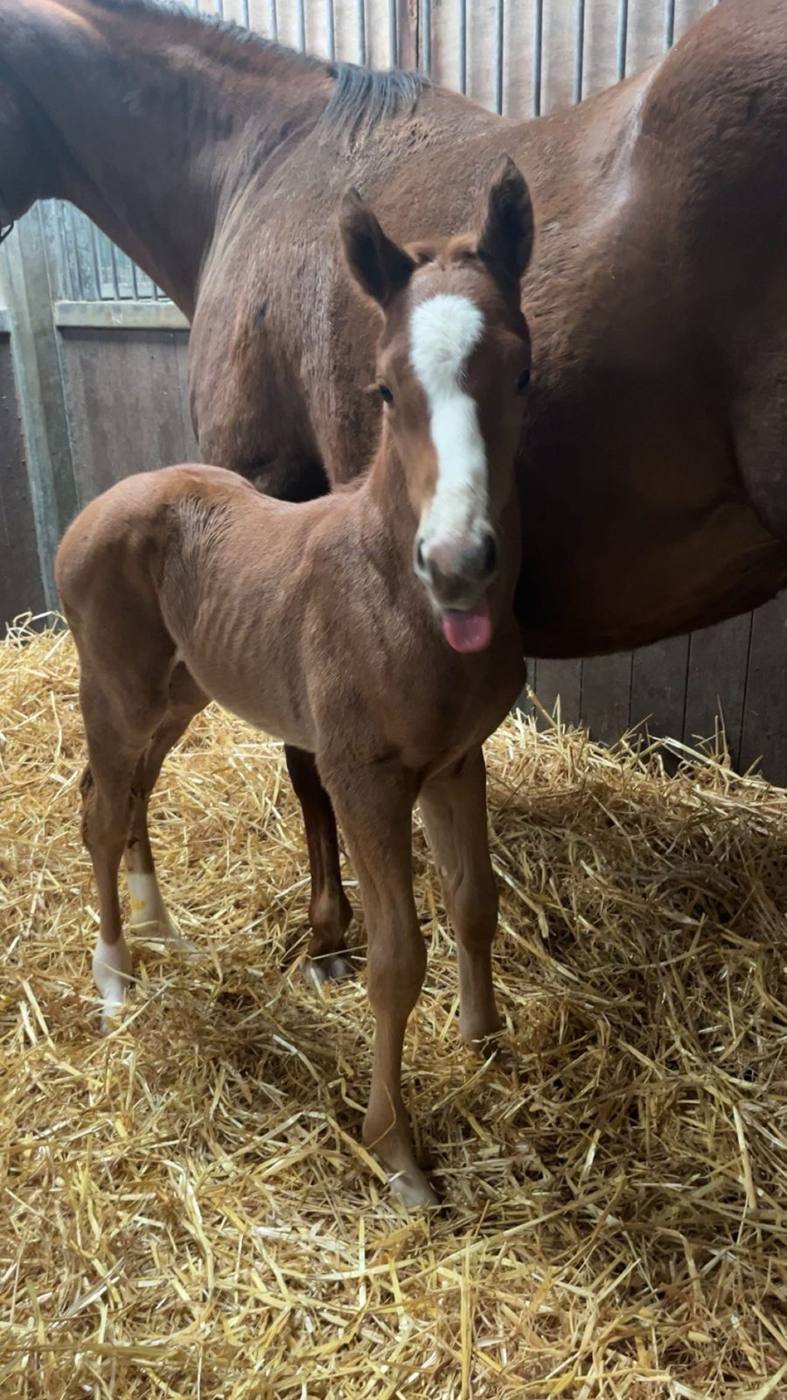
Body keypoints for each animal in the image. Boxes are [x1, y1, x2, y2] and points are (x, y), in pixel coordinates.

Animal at [54, 163, 534, 1207]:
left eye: (521, 373)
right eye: (384, 387)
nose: (457, 565)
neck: (393, 589)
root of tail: (91, 512)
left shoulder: (456, 763)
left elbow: (475, 900)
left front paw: (488, 1044)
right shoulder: (363, 777)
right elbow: (396, 959)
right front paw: (398, 1154)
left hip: (178, 695)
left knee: (129, 791)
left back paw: (163, 931)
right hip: (115, 692)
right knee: (100, 812)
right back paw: (114, 977)